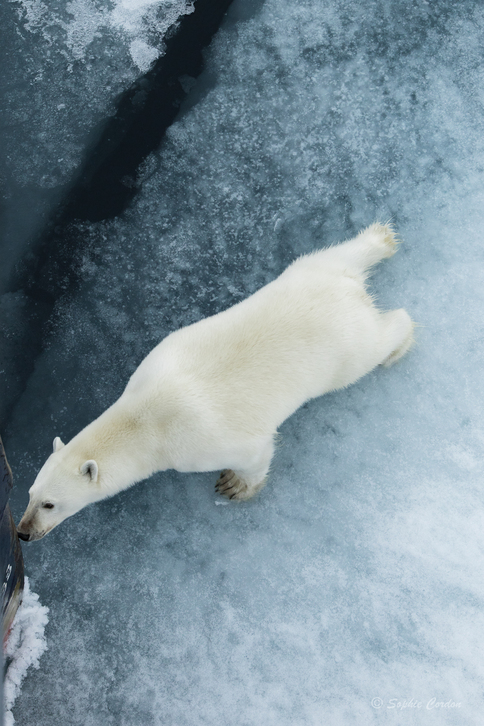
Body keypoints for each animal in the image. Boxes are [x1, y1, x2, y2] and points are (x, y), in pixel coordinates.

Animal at [18, 225, 412, 544]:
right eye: (29, 493)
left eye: (50, 504)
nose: (22, 532)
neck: (147, 417)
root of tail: (348, 289)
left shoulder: (200, 442)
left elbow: (255, 455)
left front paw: (235, 486)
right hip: (305, 270)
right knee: (335, 252)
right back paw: (381, 237)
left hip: (344, 349)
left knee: (372, 347)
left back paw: (397, 344)